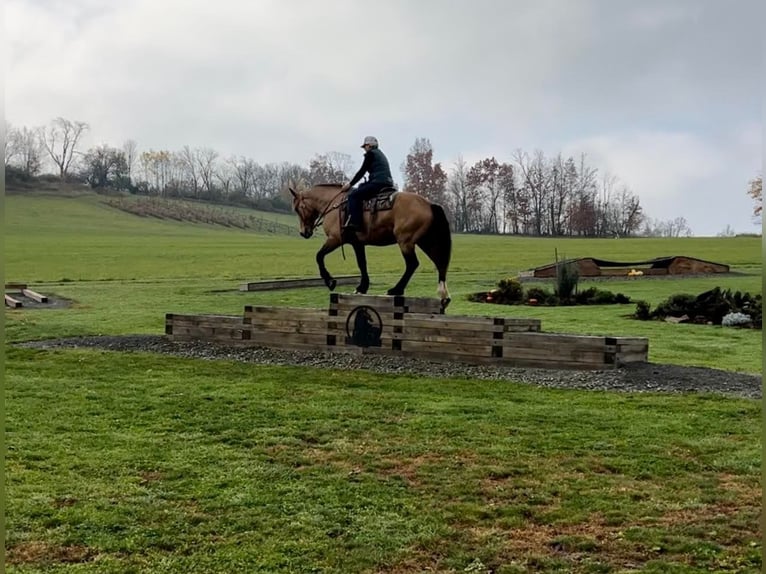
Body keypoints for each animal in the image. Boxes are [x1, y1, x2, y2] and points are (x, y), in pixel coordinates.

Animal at [292, 184, 452, 310]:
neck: (334, 204)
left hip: (405, 241)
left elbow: (319, 256)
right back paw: (444, 296)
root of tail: (429, 204)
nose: (303, 232)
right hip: (426, 241)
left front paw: (330, 281)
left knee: (413, 264)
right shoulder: (357, 244)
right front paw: (362, 287)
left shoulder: (335, 239)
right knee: (440, 263)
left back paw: (396, 290)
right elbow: (362, 263)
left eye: (299, 209)